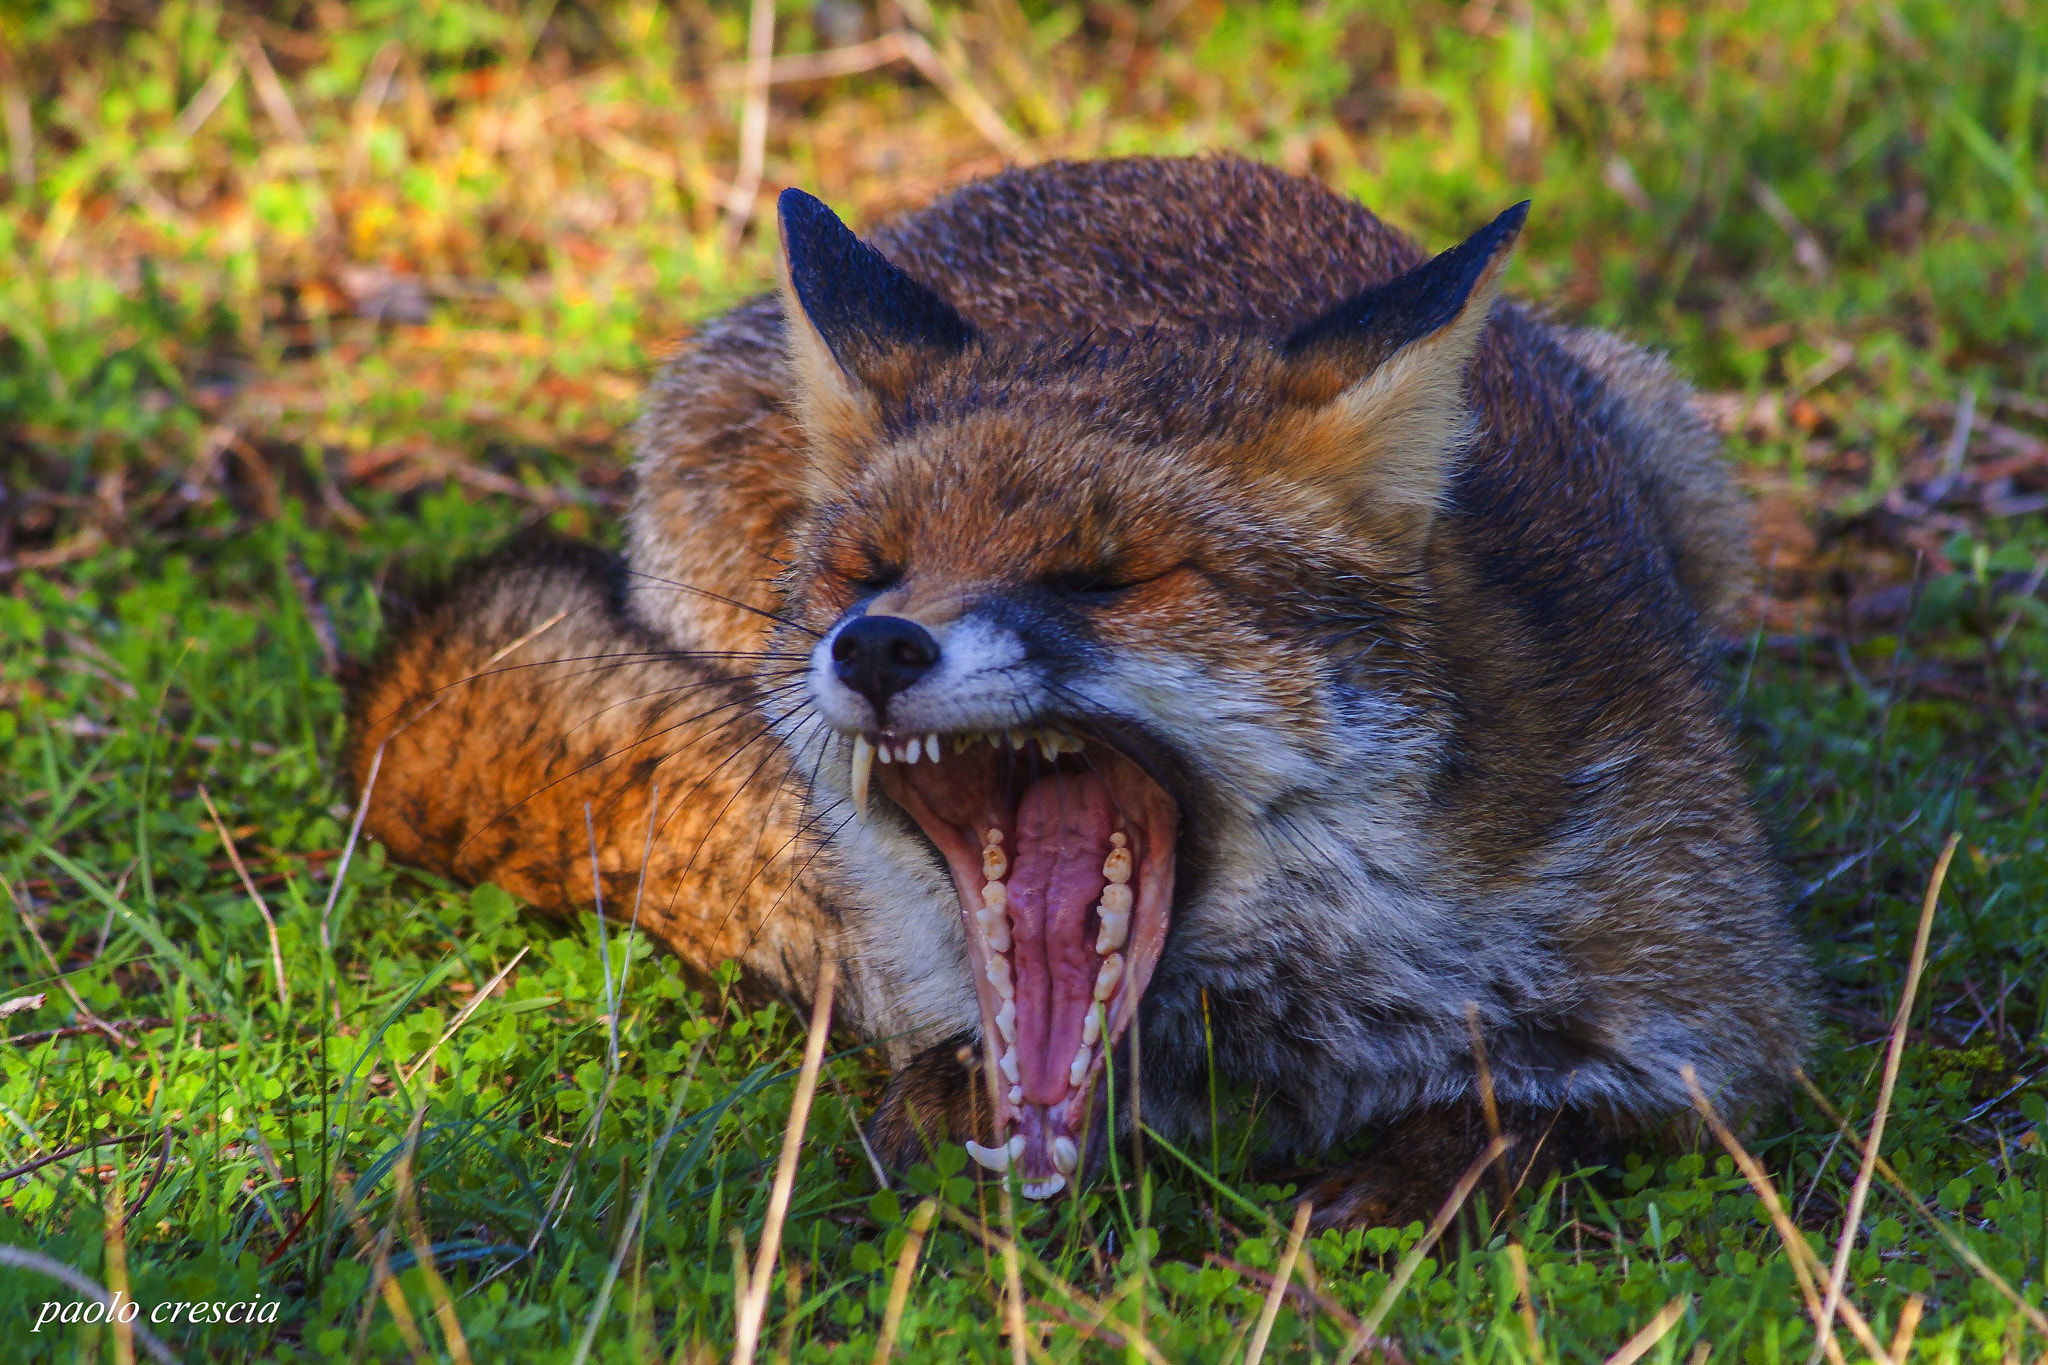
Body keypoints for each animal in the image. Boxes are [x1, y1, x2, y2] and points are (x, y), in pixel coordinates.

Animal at [346, 156, 1810, 1226]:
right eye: (871, 570)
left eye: (1104, 577)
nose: (875, 647)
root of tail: (1116, 163)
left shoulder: (1711, 1009)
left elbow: (1565, 1114)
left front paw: (1425, 1175)